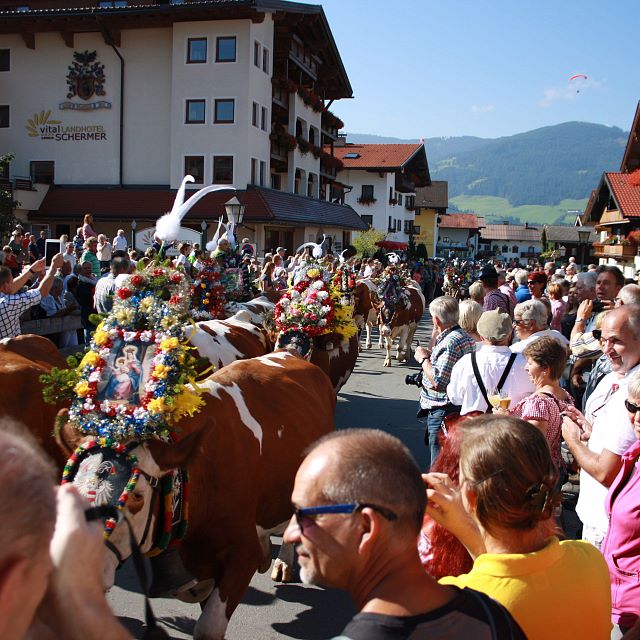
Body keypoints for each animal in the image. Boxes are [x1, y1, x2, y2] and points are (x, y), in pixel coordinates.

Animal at [58, 352, 336, 636]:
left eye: (137, 496)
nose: (76, 568)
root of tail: (291, 354)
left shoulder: (241, 555)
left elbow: (208, 627)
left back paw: (283, 562)